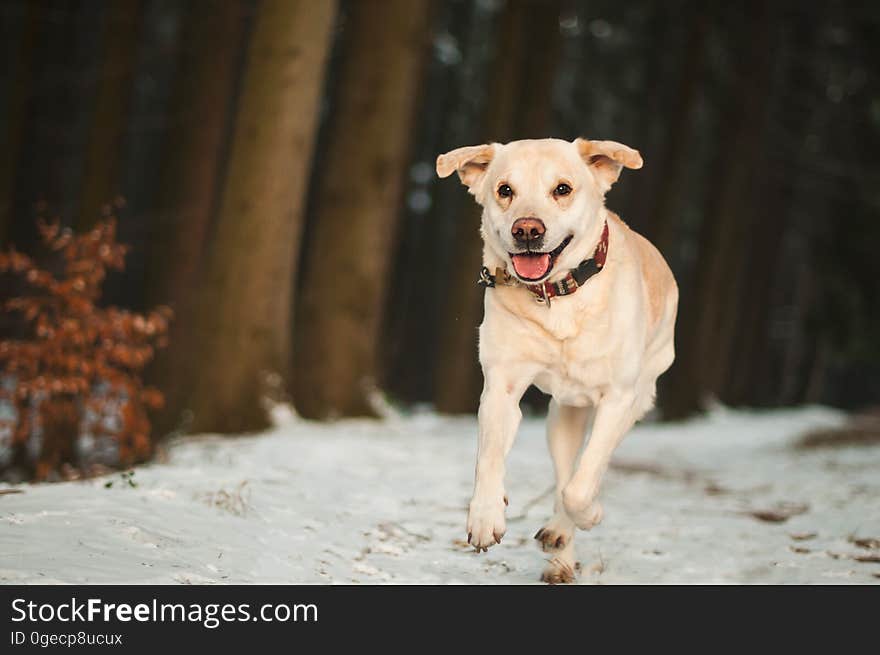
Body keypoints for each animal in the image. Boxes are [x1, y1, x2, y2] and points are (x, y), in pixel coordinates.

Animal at [436, 136, 676, 580]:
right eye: (505, 190)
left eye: (562, 189)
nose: (527, 229)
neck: (558, 295)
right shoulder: (500, 388)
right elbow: (489, 458)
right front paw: (485, 517)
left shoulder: (618, 398)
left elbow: (581, 487)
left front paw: (591, 513)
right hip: (562, 417)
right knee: (564, 471)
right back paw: (560, 550)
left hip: (637, 395)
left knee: (580, 476)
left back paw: (564, 533)